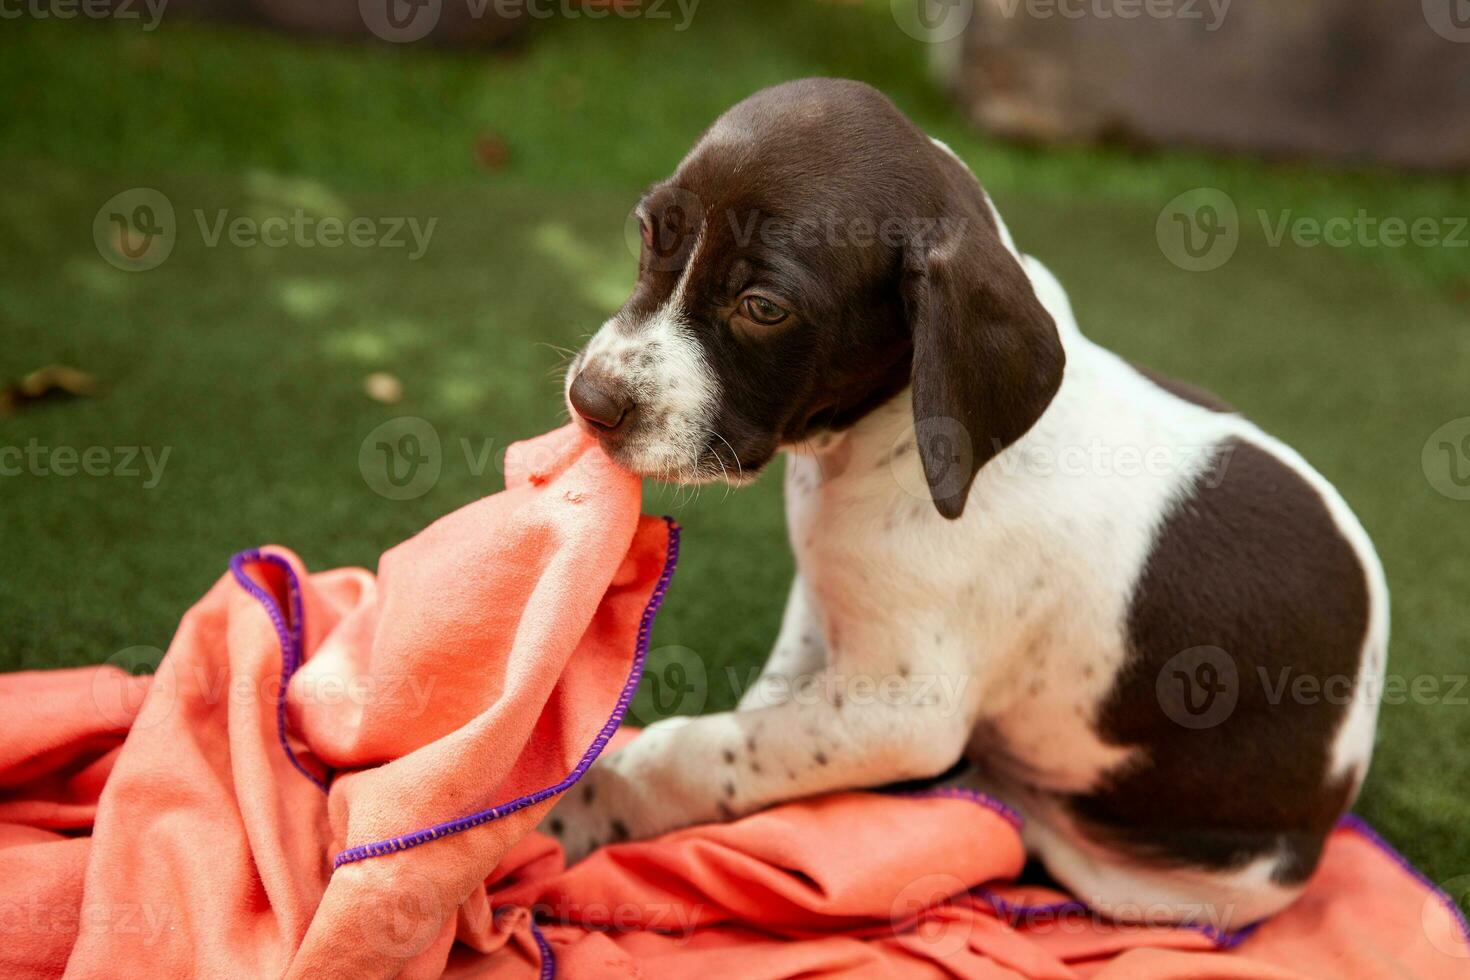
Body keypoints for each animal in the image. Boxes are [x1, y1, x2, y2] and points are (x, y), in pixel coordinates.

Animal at [543, 80, 1387, 934]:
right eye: (649, 231)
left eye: (764, 307)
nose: (591, 401)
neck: (869, 444)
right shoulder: (823, 609)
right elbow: (761, 711)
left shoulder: (902, 710)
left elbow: (696, 750)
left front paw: (580, 807)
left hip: (1167, 881)